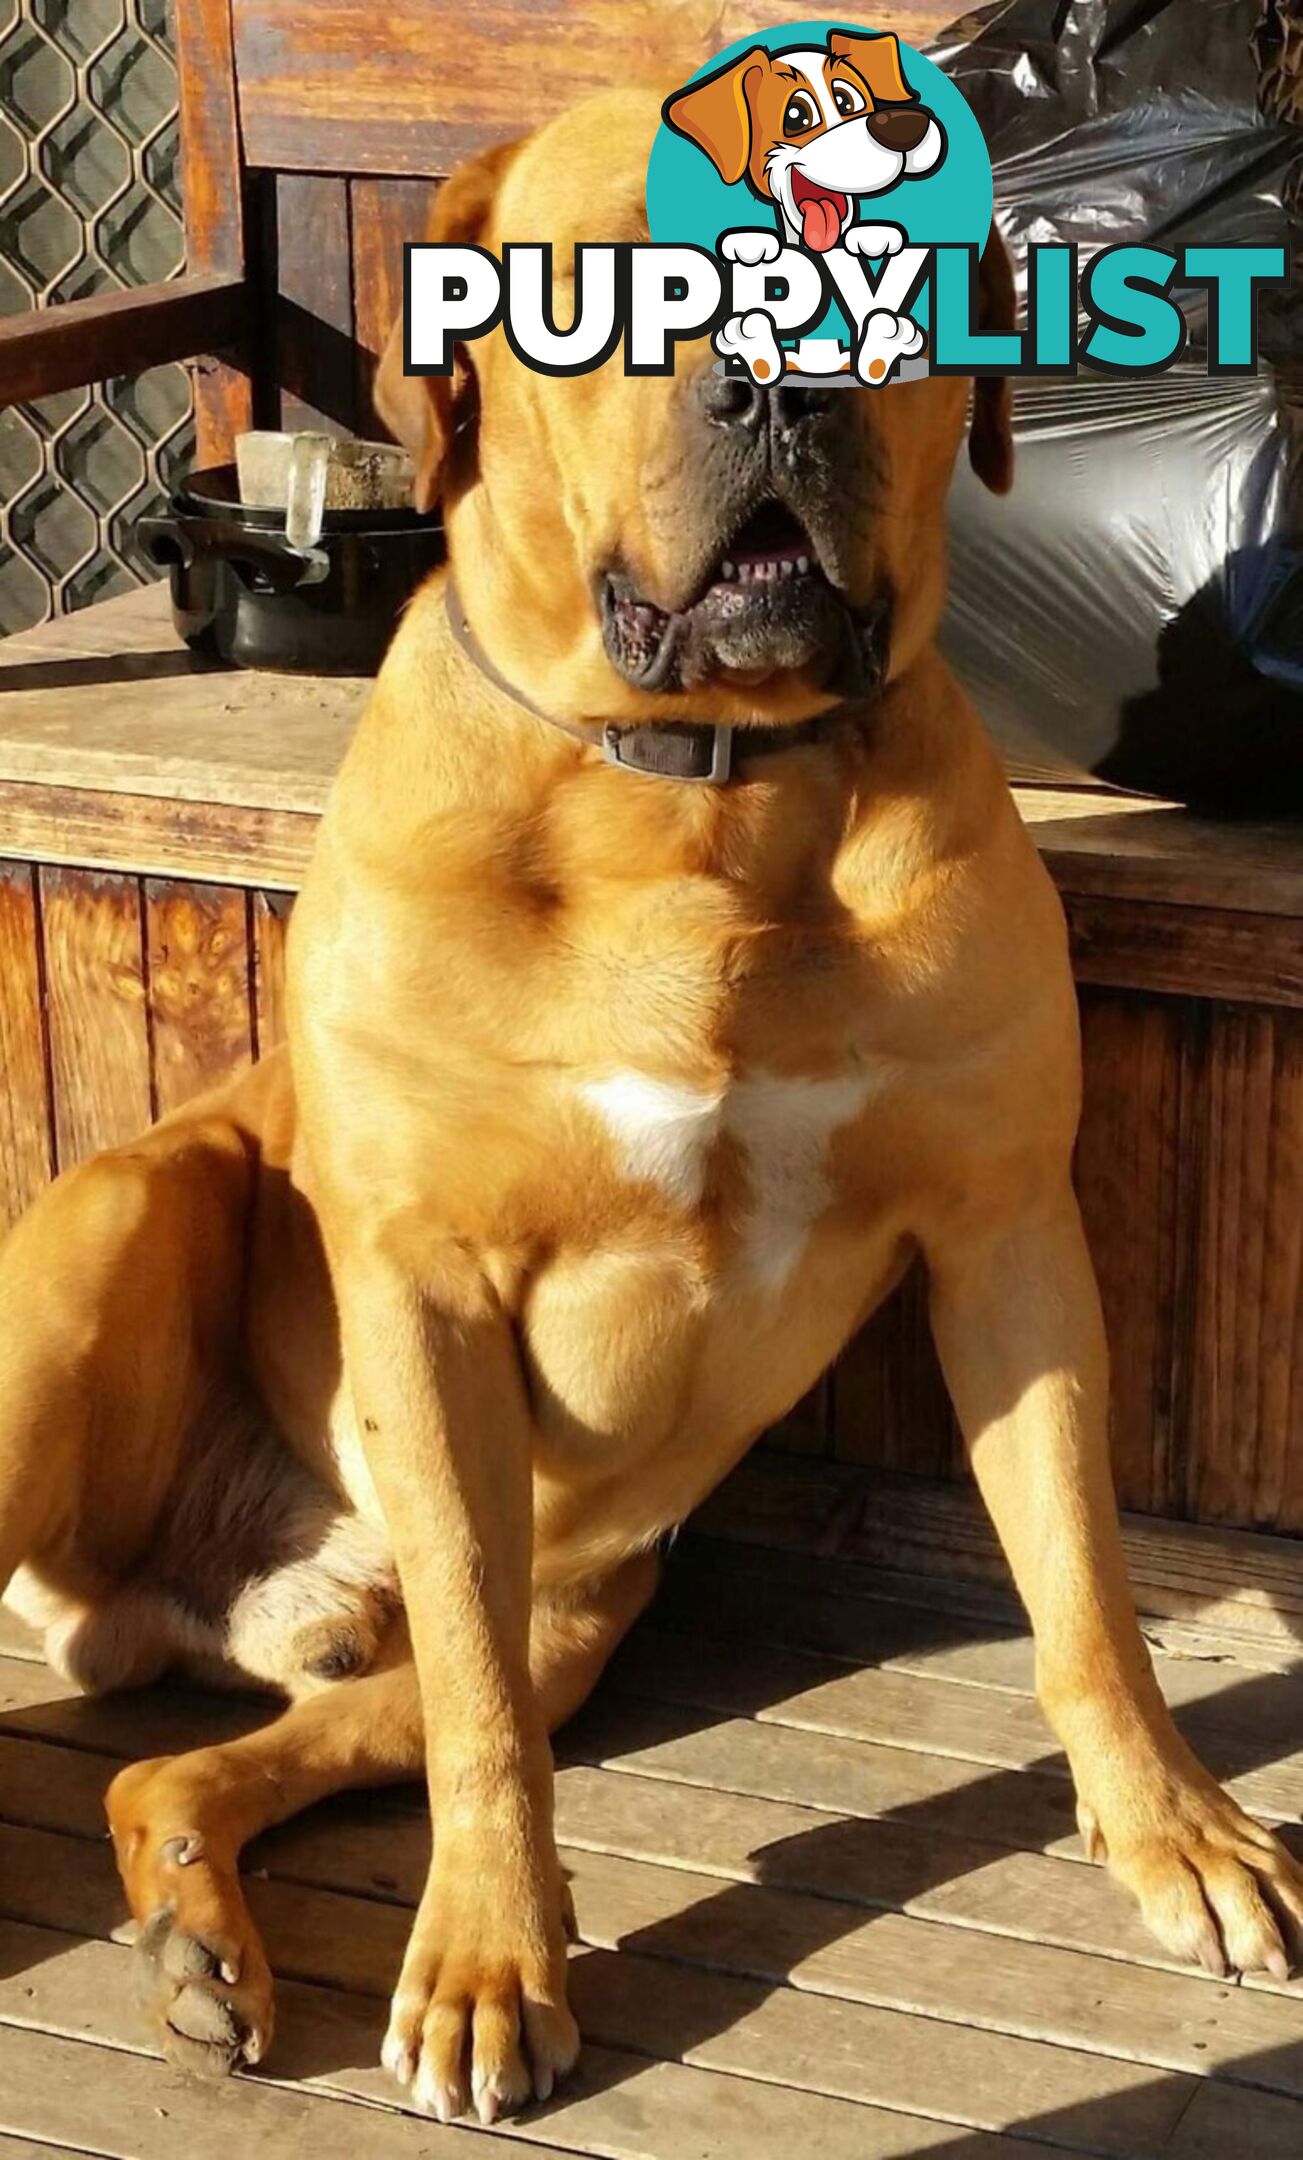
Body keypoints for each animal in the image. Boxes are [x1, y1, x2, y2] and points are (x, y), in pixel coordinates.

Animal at [2, 88, 1303, 2125]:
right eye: (614, 269)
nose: (783, 369)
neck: (704, 798)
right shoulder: (429, 1292)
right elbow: (481, 1730)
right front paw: (485, 1962)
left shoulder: (1007, 1237)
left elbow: (1084, 1584)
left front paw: (1173, 1830)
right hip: (118, 1234)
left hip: (547, 1626)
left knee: (172, 1767)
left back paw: (204, 1955)